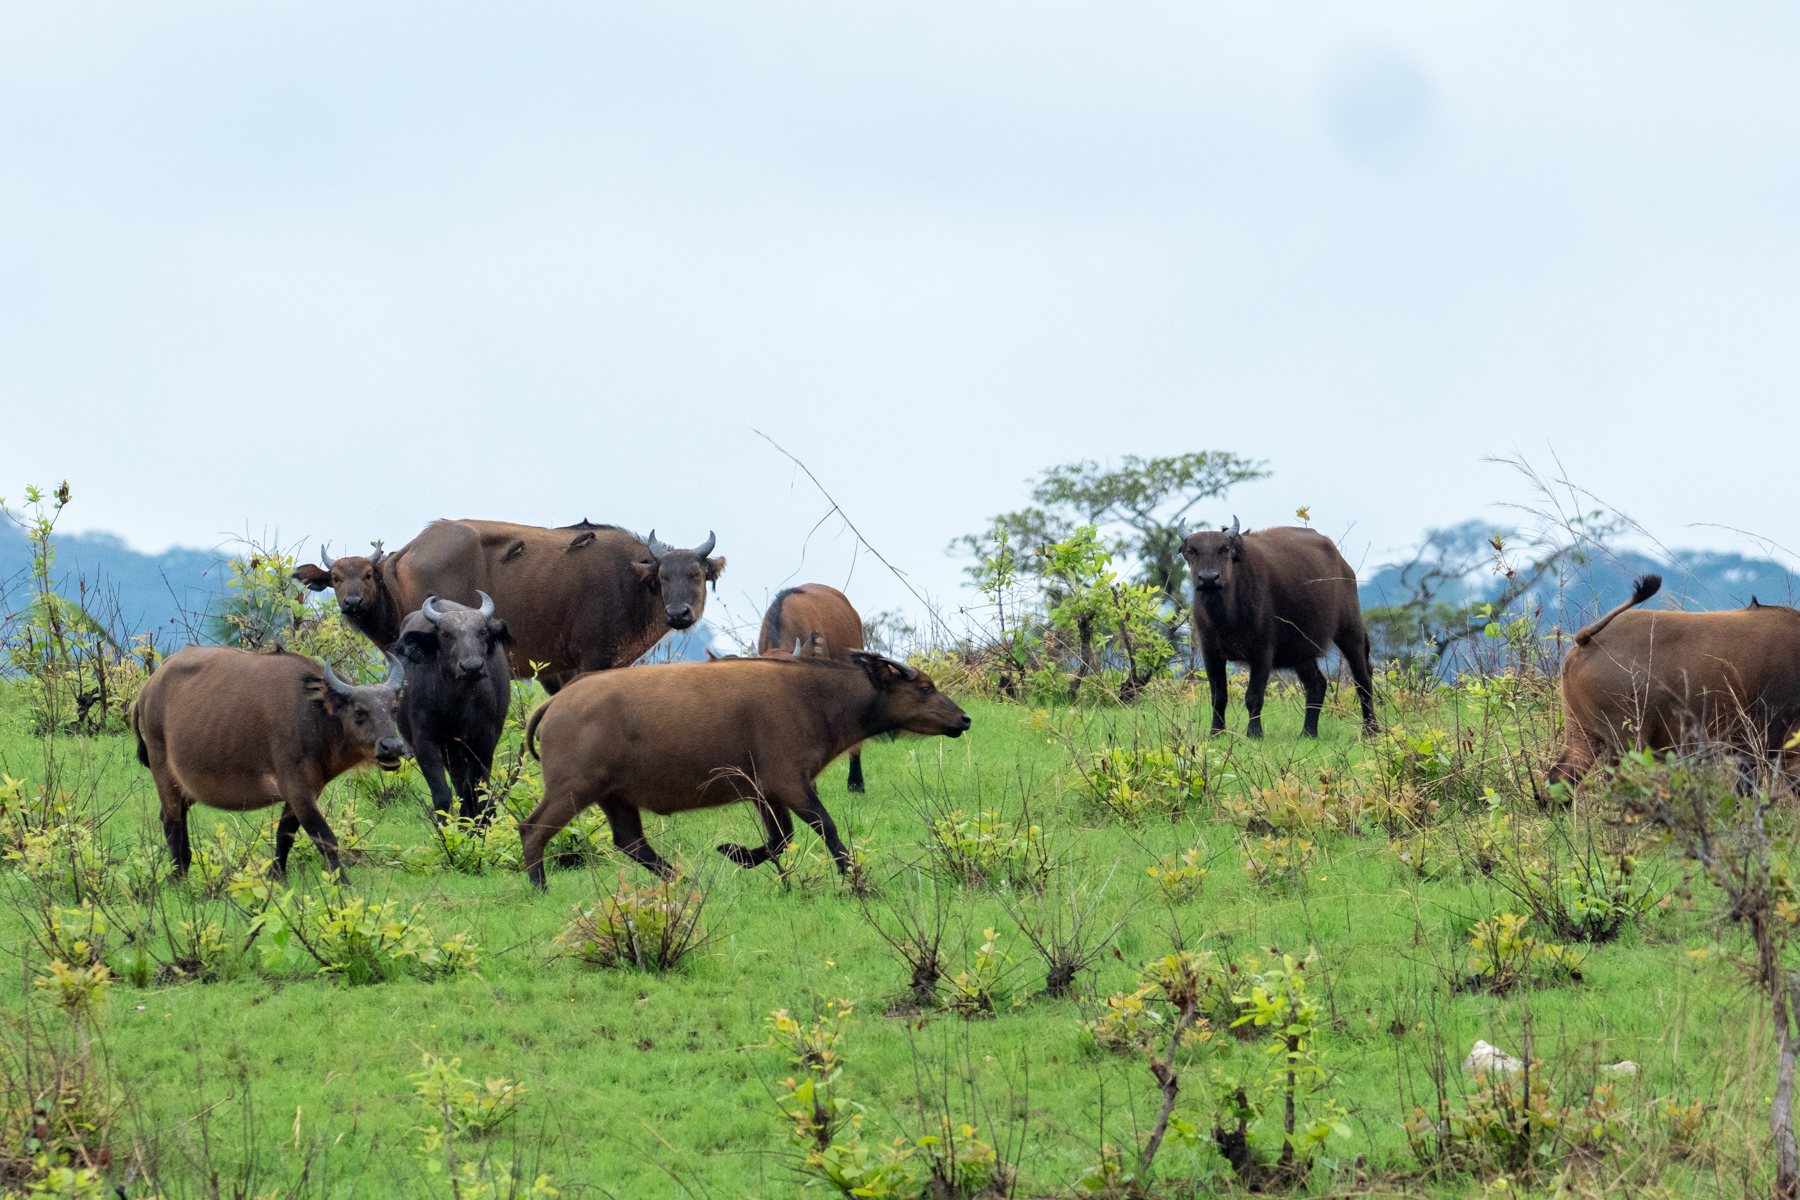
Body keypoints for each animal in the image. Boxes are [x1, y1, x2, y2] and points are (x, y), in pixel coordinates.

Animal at [130, 646, 406, 880]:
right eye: (359, 712)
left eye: (393, 709)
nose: (392, 746)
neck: (314, 717)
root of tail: (147, 690)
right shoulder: (298, 790)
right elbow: (325, 838)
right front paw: (342, 883)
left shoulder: (304, 793)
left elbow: (285, 834)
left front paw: (277, 875)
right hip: (162, 771)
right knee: (171, 822)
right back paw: (177, 875)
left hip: (186, 786)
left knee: (175, 815)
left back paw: (184, 865)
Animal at [295, 522, 724, 692]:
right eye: (663, 577)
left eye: (696, 575)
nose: (679, 614)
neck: (632, 583)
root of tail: (409, 549)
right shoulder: (593, 660)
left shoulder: (557, 670)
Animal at [394, 592, 513, 823]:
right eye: (446, 634)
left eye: (482, 631)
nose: (472, 667)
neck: (455, 702)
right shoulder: (425, 741)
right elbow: (442, 794)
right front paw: (447, 828)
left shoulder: (484, 738)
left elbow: (473, 787)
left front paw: (477, 824)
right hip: (450, 750)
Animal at [518, 653, 970, 889]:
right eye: (925, 688)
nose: (963, 719)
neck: (813, 698)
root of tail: (559, 701)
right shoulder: (790, 785)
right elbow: (826, 828)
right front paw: (853, 878)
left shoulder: (765, 794)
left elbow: (780, 840)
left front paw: (736, 854)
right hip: (574, 788)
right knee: (533, 829)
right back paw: (540, 887)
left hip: (615, 797)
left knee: (631, 843)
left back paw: (690, 883)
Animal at [1180, 518, 1378, 738]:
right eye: (1192, 551)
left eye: (1224, 549)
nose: (1208, 578)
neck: (1225, 615)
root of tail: (1344, 566)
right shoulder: (1210, 652)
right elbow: (1218, 696)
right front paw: (1216, 732)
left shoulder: (1262, 651)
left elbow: (1254, 696)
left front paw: (1254, 733)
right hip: (1300, 650)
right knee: (1317, 685)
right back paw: (1308, 732)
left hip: (1350, 629)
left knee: (1363, 678)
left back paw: (1371, 729)